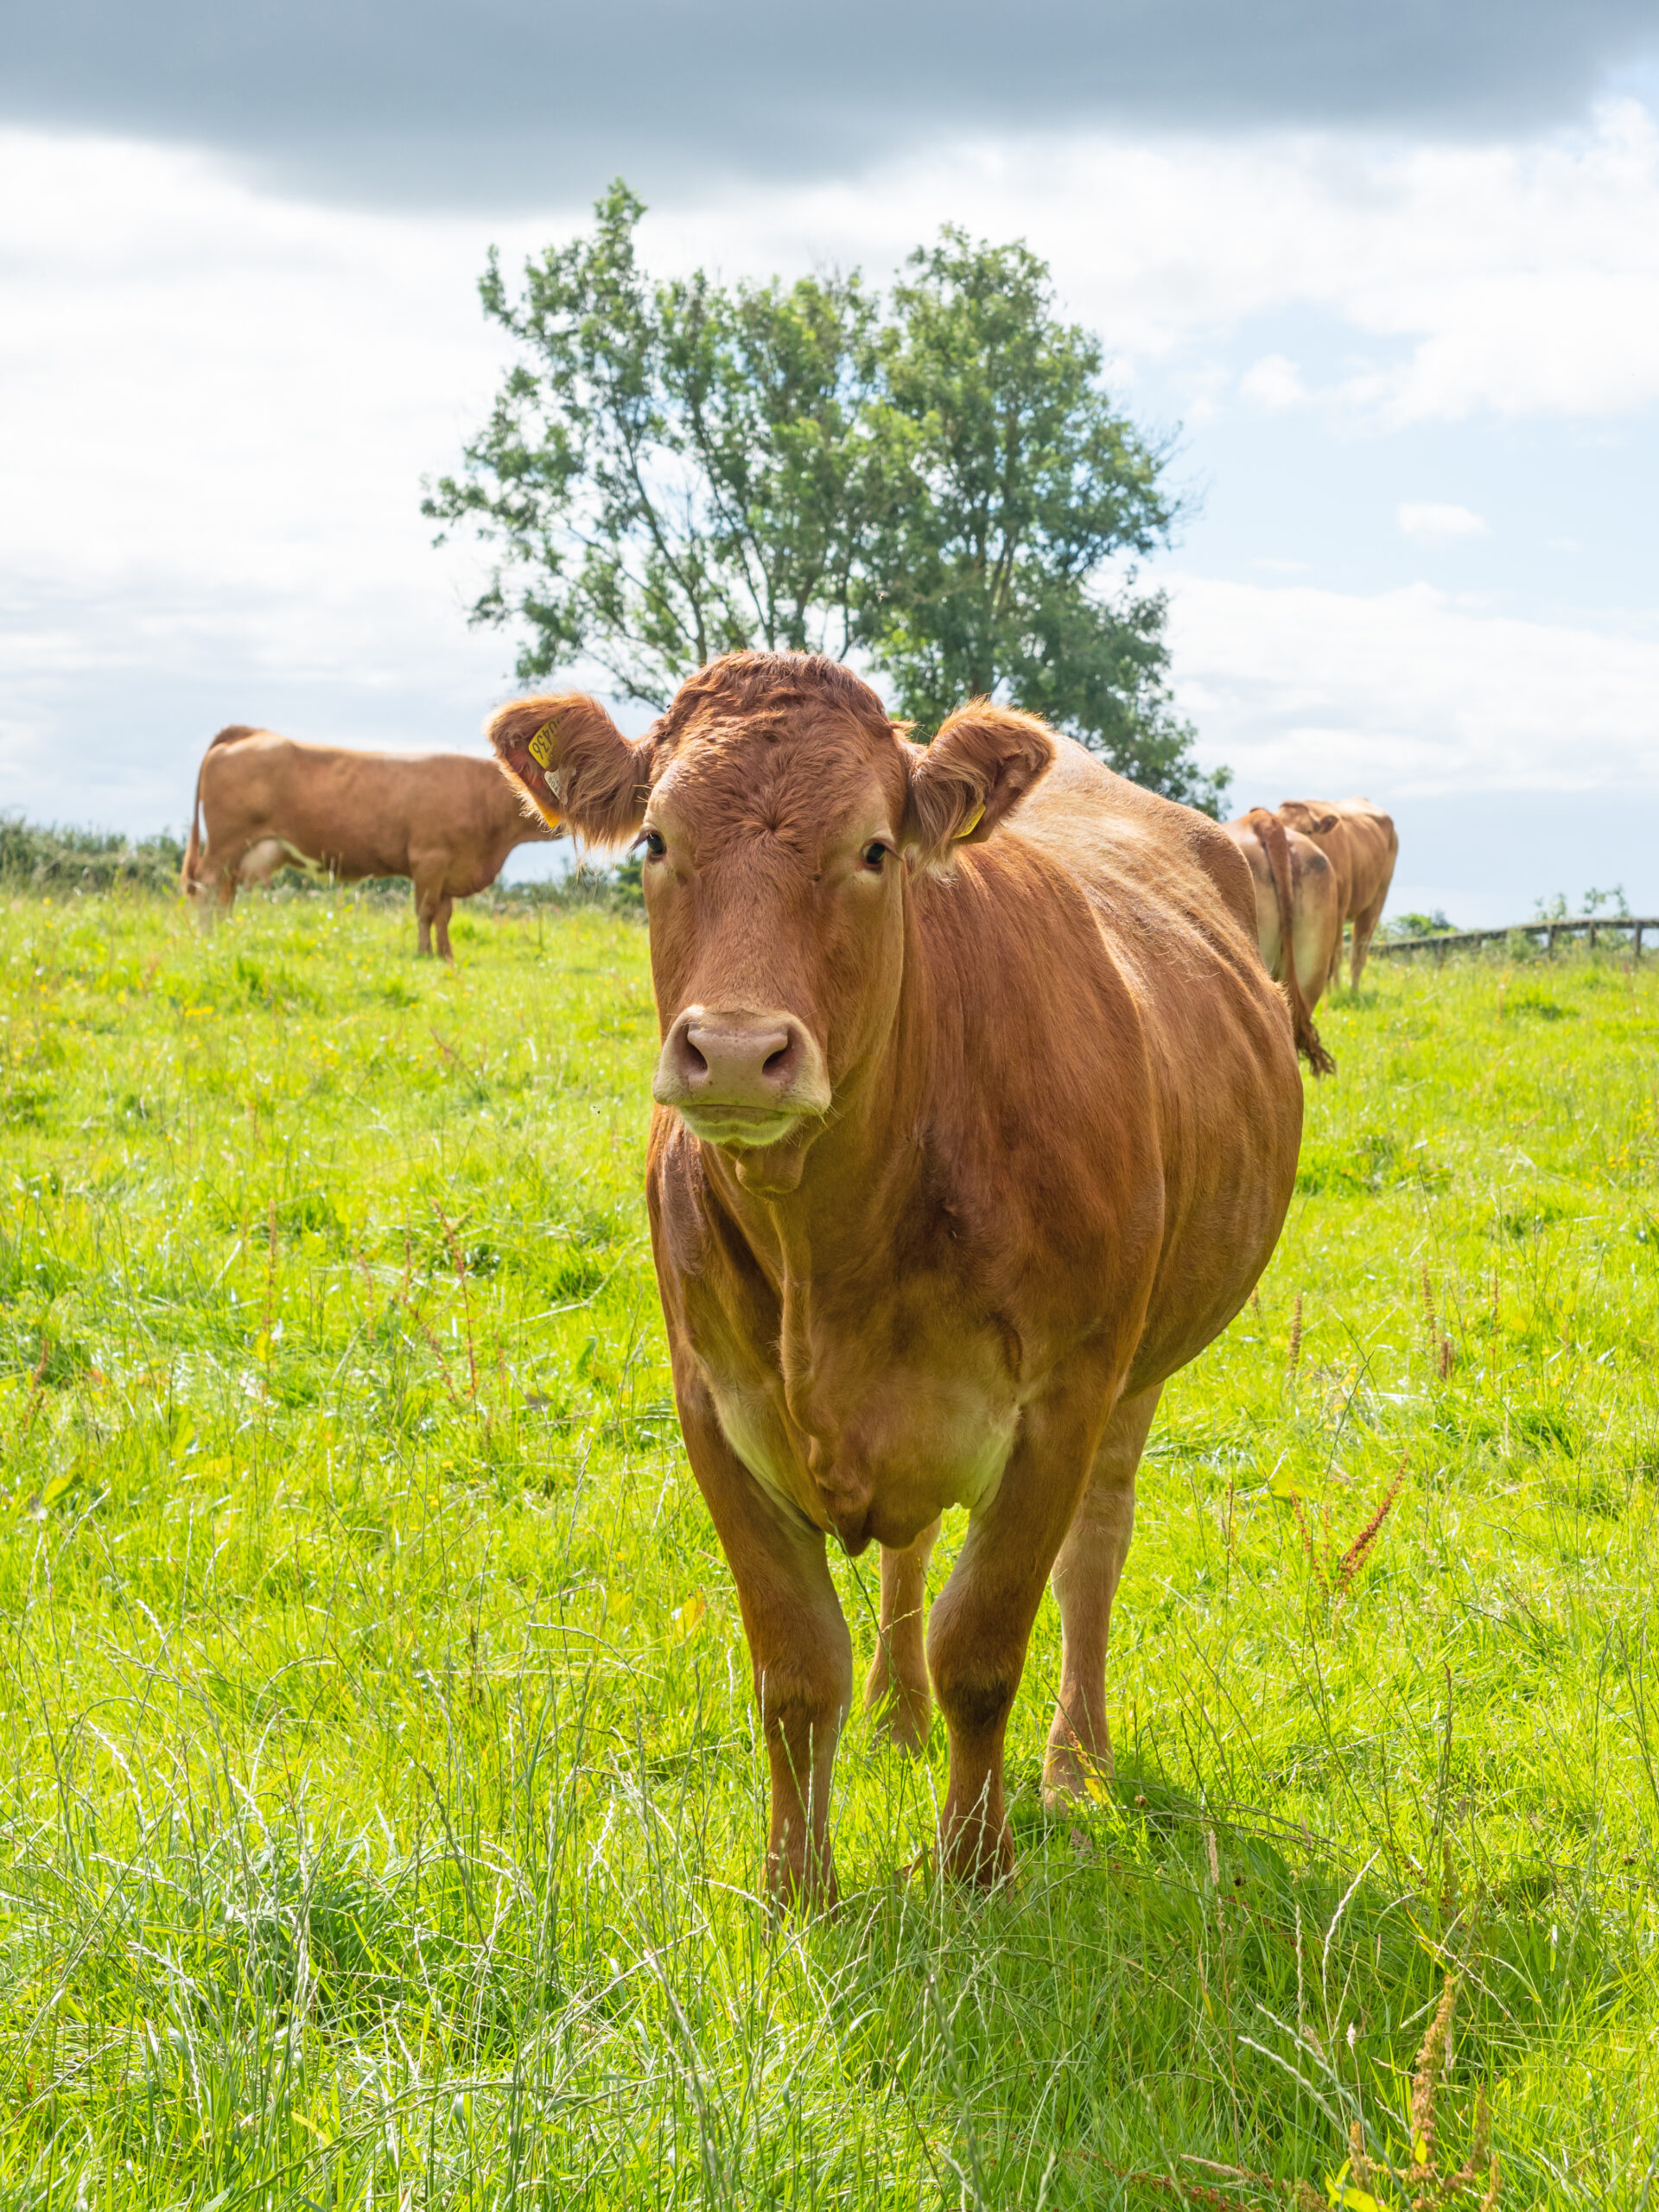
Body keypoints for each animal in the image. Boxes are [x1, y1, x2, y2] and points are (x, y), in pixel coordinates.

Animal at [181, 724, 560, 958]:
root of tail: (250, 734)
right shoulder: (429, 859)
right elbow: (425, 912)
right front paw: (424, 954)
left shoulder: (450, 867)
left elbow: (444, 915)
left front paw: (446, 954)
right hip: (226, 842)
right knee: (208, 886)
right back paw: (208, 938)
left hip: (238, 852)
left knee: (225, 892)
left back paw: (225, 934)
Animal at [489, 654, 1303, 1901]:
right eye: (656, 840)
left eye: (874, 850)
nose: (737, 1051)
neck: (832, 1251)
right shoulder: (711, 1403)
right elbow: (794, 1670)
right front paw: (795, 1887)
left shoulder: (1060, 1405)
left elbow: (986, 1644)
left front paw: (975, 1868)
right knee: (911, 1555)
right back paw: (896, 1716)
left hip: (1137, 1372)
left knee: (1094, 1554)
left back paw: (1077, 1767)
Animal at [1274, 798, 1398, 992]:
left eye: (1308, 831)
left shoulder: (1340, 907)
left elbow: (1335, 951)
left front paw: (1336, 992)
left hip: (1376, 900)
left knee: (1358, 950)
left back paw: (1353, 991)